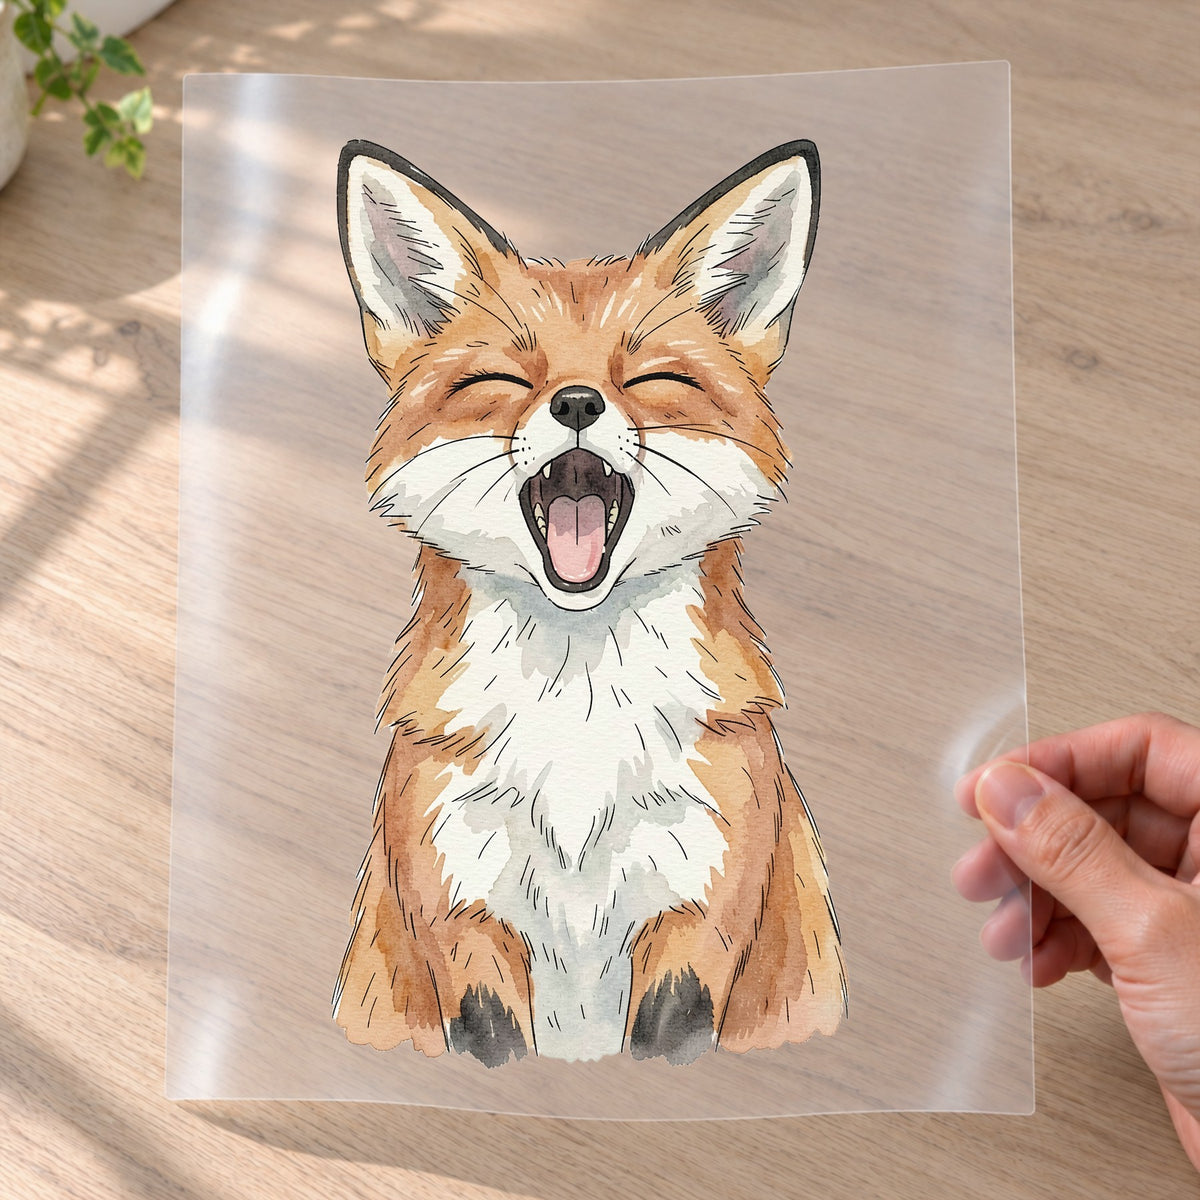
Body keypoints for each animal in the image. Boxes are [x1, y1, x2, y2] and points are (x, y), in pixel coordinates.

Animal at [332, 137, 846, 1067]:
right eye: (502, 378)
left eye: (654, 377)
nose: (577, 402)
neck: (576, 731)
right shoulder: (462, 923)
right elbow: (495, 1043)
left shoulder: (700, 916)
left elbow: (667, 1041)